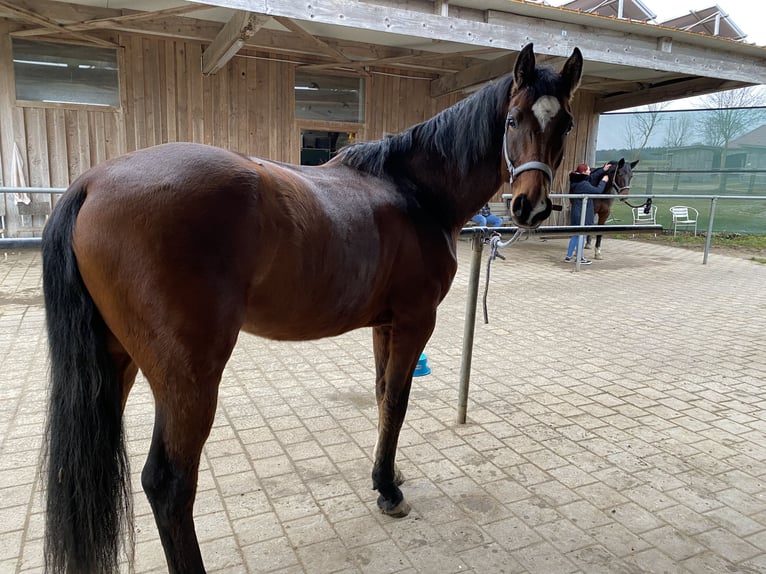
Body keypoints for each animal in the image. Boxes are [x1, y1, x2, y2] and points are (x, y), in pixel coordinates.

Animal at [40, 42, 584, 572]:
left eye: (565, 123)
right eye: (512, 119)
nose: (531, 206)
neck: (414, 191)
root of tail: (92, 182)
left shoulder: (385, 326)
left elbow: (383, 395)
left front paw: (385, 475)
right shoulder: (415, 321)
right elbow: (398, 400)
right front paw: (389, 492)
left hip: (116, 362)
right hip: (187, 377)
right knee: (168, 483)